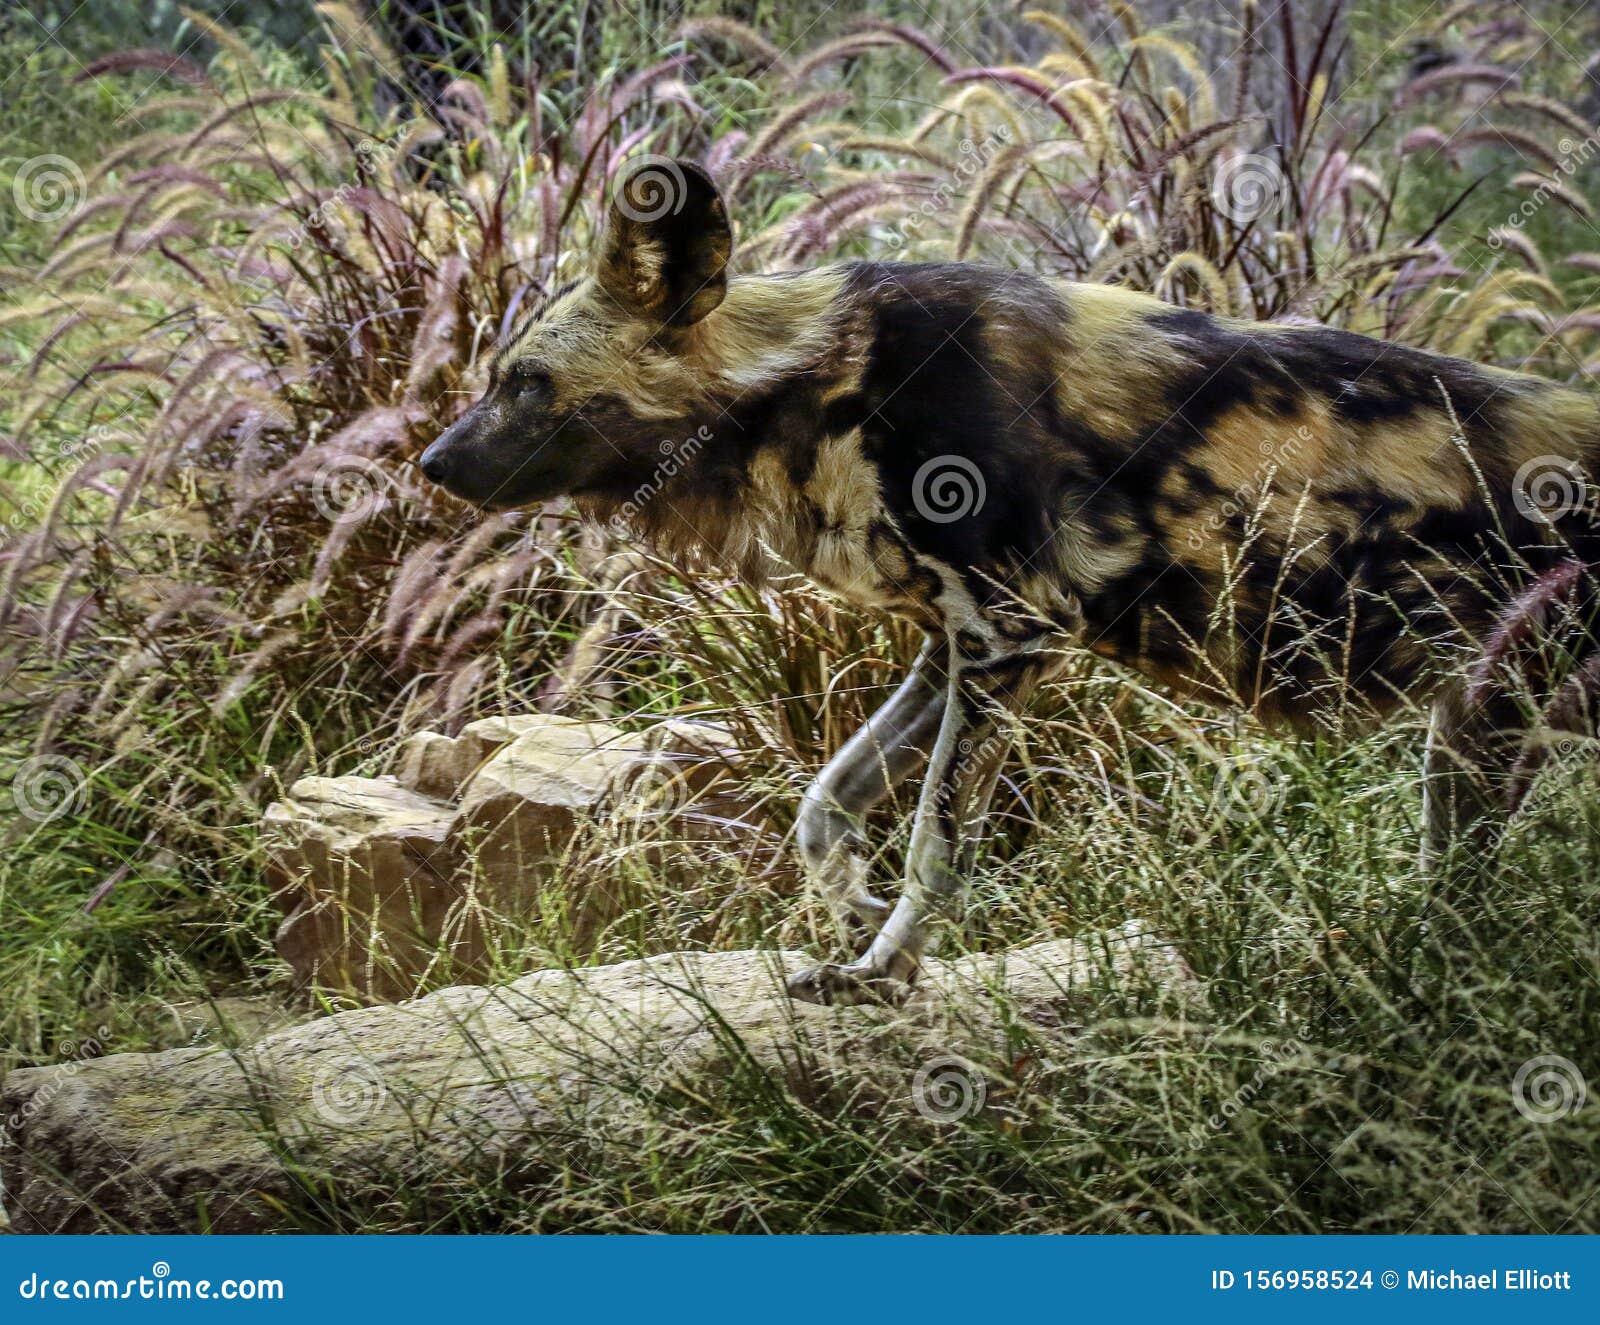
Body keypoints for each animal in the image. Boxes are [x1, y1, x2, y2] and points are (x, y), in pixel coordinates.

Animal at [422, 157, 1600, 1004]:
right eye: (497, 378)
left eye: (526, 384)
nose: (429, 462)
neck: (815, 384)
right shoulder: (949, 646)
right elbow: (826, 800)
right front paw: (855, 922)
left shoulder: (1005, 636)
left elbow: (934, 839)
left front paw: (882, 974)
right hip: (1474, 732)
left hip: (1491, 717)